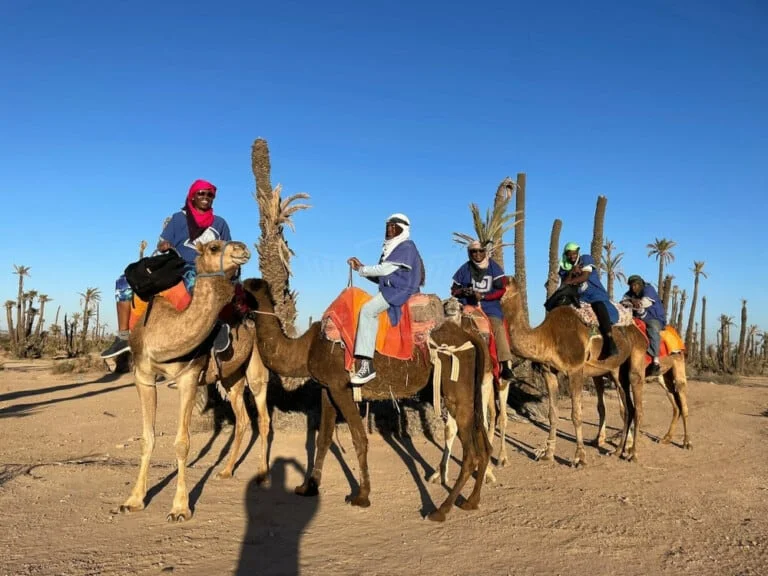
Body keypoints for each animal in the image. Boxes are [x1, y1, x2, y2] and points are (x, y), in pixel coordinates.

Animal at [119, 240, 272, 522]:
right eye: (213, 248)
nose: (242, 248)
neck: (163, 332)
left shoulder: (189, 378)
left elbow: (182, 443)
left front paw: (180, 508)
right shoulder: (143, 376)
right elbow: (147, 438)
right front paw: (133, 501)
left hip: (256, 364)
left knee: (263, 416)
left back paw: (263, 475)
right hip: (231, 376)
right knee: (243, 418)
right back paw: (226, 470)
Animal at [243, 278, 491, 522]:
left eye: (241, 290)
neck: (307, 347)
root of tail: (470, 337)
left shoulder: (340, 387)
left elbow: (359, 439)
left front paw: (361, 496)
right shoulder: (326, 388)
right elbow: (323, 439)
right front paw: (308, 487)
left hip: (455, 382)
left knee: (471, 452)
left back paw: (441, 509)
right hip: (470, 388)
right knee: (483, 442)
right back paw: (471, 501)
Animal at [500, 277, 648, 465]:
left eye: (500, 283)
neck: (548, 336)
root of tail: (638, 328)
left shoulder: (575, 370)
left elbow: (576, 414)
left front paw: (579, 457)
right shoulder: (549, 372)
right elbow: (552, 413)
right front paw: (548, 454)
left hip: (637, 357)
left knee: (637, 404)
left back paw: (633, 454)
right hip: (616, 370)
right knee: (627, 408)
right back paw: (617, 451)